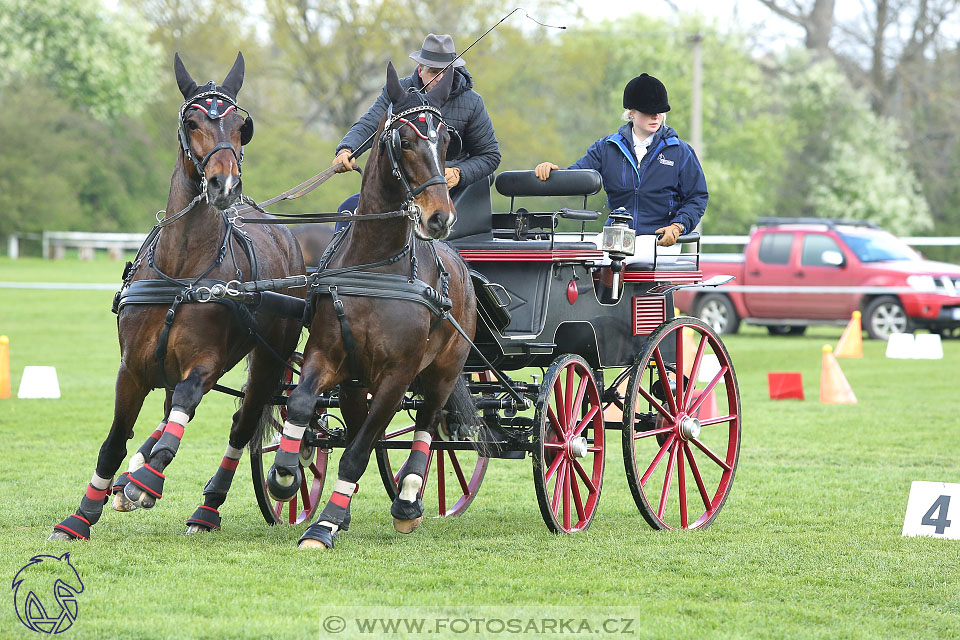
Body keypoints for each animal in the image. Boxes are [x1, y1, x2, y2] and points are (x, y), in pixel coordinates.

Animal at [50, 52, 306, 540]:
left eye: (240, 125)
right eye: (192, 121)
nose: (225, 185)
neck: (182, 270)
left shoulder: (204, 361)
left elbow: (183, 415)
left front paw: (146, 480)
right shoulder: (132, 368)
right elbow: (114, 442)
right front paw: (82, 516)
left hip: (269, 360)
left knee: (240, 425)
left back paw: (203, 506)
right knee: (170, 415)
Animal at [262, 62, 476, 548]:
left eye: (447, 141)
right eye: (405, 141)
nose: (440, 217)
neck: (377, 268)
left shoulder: (398, 376)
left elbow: (359, 452)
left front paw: (323, 525)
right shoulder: (329, 357)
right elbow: (301, 404)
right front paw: (285, 473)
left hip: (443, 369)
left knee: (427, 426)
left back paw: (409, 501)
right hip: (359, 383)